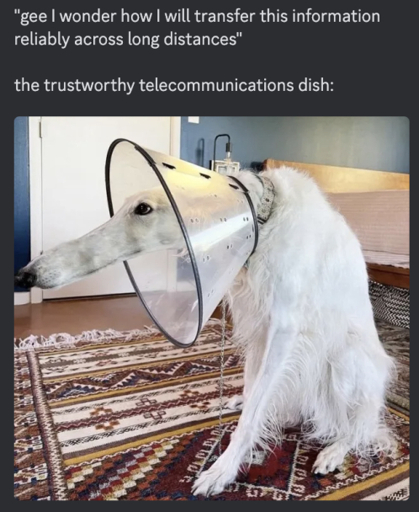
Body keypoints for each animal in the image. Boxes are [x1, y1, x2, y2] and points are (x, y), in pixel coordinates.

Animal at [15, 166, 394, 497]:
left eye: (143, 209)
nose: (26, 275)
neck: (264, 218)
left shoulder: (283, 330)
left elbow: (250, 419)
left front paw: (221, 471)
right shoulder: (259, 326)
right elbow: (254, 393)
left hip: (344, 362)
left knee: (360, 428)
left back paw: (334, 450)